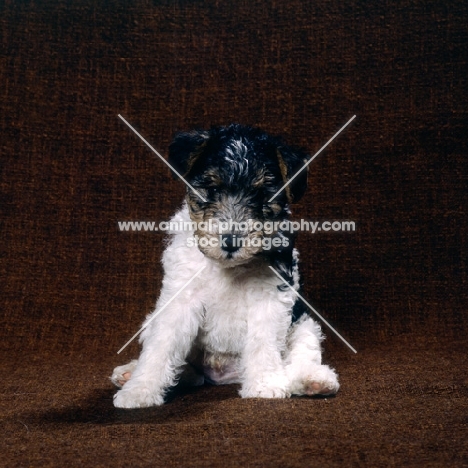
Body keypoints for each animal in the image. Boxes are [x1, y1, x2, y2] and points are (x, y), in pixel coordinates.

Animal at [113, 123, 340, 406]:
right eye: (211, 189)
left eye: (262, 195)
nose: (231, 240)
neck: (229, 268)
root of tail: (224, 374)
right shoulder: (179, 297)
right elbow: (161, 346)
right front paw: (140, 390)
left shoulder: (271, 296)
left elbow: (263, 342)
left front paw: (264, 384)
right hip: (151, 321)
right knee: (184, 368)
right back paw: (129, 373)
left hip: (305, 323)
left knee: (301, 355)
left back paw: (313, 380)